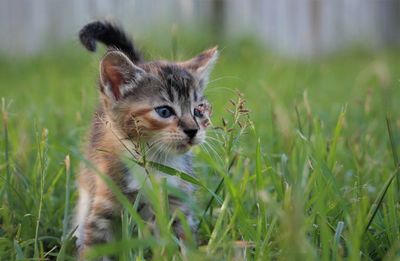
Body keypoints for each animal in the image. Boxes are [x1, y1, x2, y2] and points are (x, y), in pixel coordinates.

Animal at [74, 20, 219, 256]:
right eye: (164, 111)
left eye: (198, 110)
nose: (193, 130)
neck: (153, 162)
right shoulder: (105, 203)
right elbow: (94, 246)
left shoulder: (178, 204)